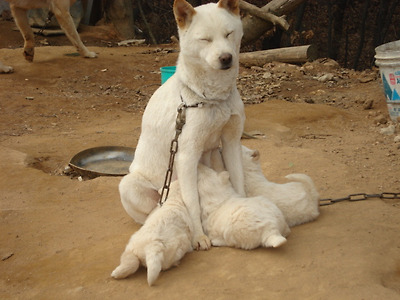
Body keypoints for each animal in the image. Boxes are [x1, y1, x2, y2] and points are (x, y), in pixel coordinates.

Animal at [117, 0, 245, 250]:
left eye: (228, 34)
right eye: (205, 39)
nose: (226, 58)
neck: (210, 98)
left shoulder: (231, 143)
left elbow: (240, 183)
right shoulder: (186, 156)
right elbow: (192, 203)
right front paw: (198, 237)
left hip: (215, 157)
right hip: (129, 184)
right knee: (151, 211)